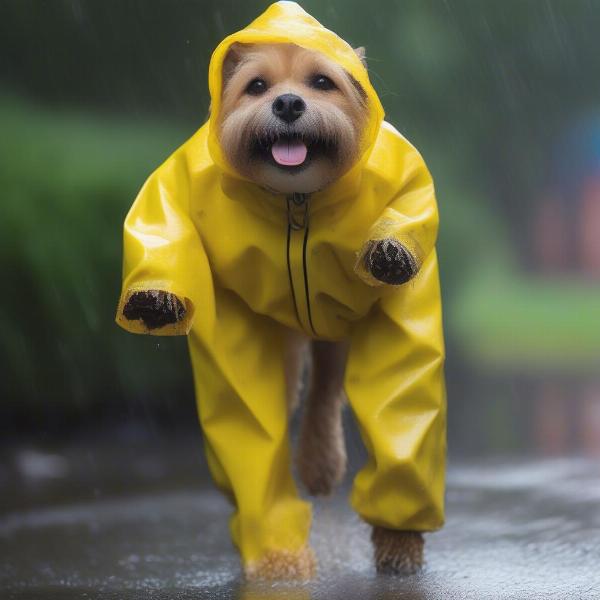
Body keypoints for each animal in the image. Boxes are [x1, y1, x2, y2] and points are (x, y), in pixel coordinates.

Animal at [117, 0, 446, 580]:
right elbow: (161, 219)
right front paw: (154, 298)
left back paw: (322, 467)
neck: (297, 201)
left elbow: (402, 412)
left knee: (329, 391)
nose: (289, 102)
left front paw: (400, 542)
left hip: (338, 331)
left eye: (321, 82)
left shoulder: (402, 235)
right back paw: (280, 551)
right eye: (256, 86)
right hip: (279, 343)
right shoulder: (183, 189)